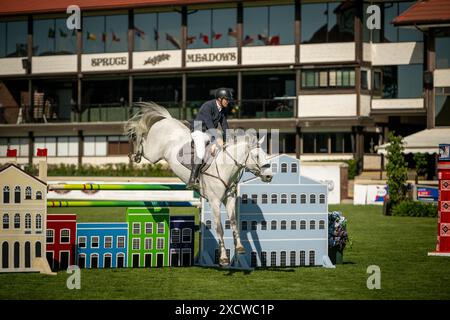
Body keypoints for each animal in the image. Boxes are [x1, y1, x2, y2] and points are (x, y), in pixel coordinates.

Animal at [126, 102, 274, 264]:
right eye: (257, 156)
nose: (269, 176)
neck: (225, 167)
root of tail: (168, 119)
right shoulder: (215, 202)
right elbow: (219, 228)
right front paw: (223, 258)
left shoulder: (229, 199)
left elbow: (234, 223)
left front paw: (240, 248)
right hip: (153, 154)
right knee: (143, 140)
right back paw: (135, 151)